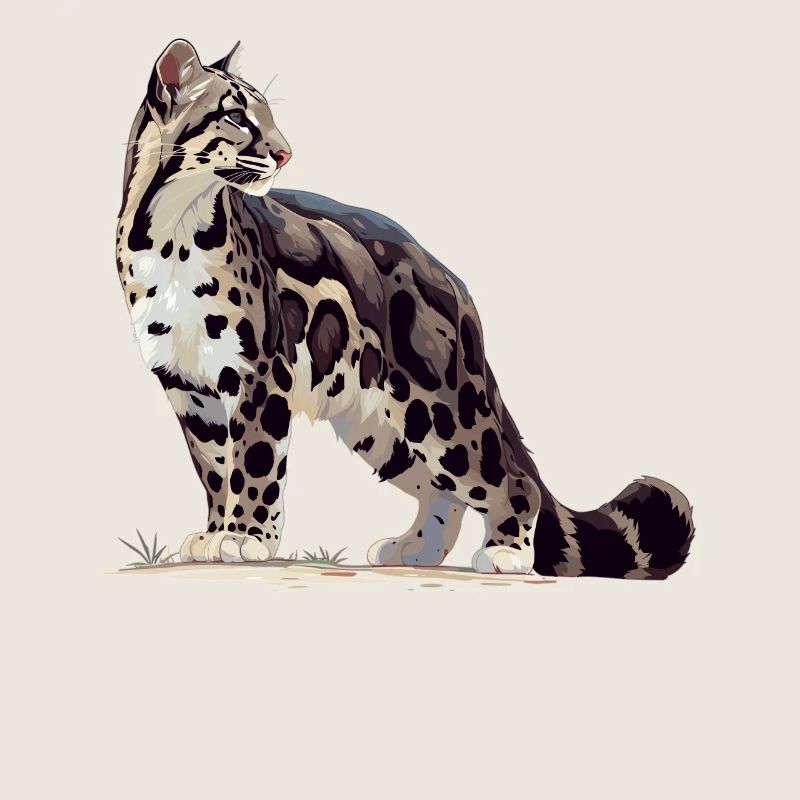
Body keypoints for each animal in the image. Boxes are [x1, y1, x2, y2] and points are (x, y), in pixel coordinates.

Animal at [116, 39, 694, 578]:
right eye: (236, 116)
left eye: (269, 115)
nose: (285, 153)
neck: (173, 234)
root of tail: (451, 281)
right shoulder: (187, 385)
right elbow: (216, 469)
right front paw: (217, 532)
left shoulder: (260, 372)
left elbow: (253, 462)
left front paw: (246, 538)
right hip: (382, 423)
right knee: (442, 492)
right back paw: (415, 549)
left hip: (441, 410)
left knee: (510, 478)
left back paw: (505, 552)